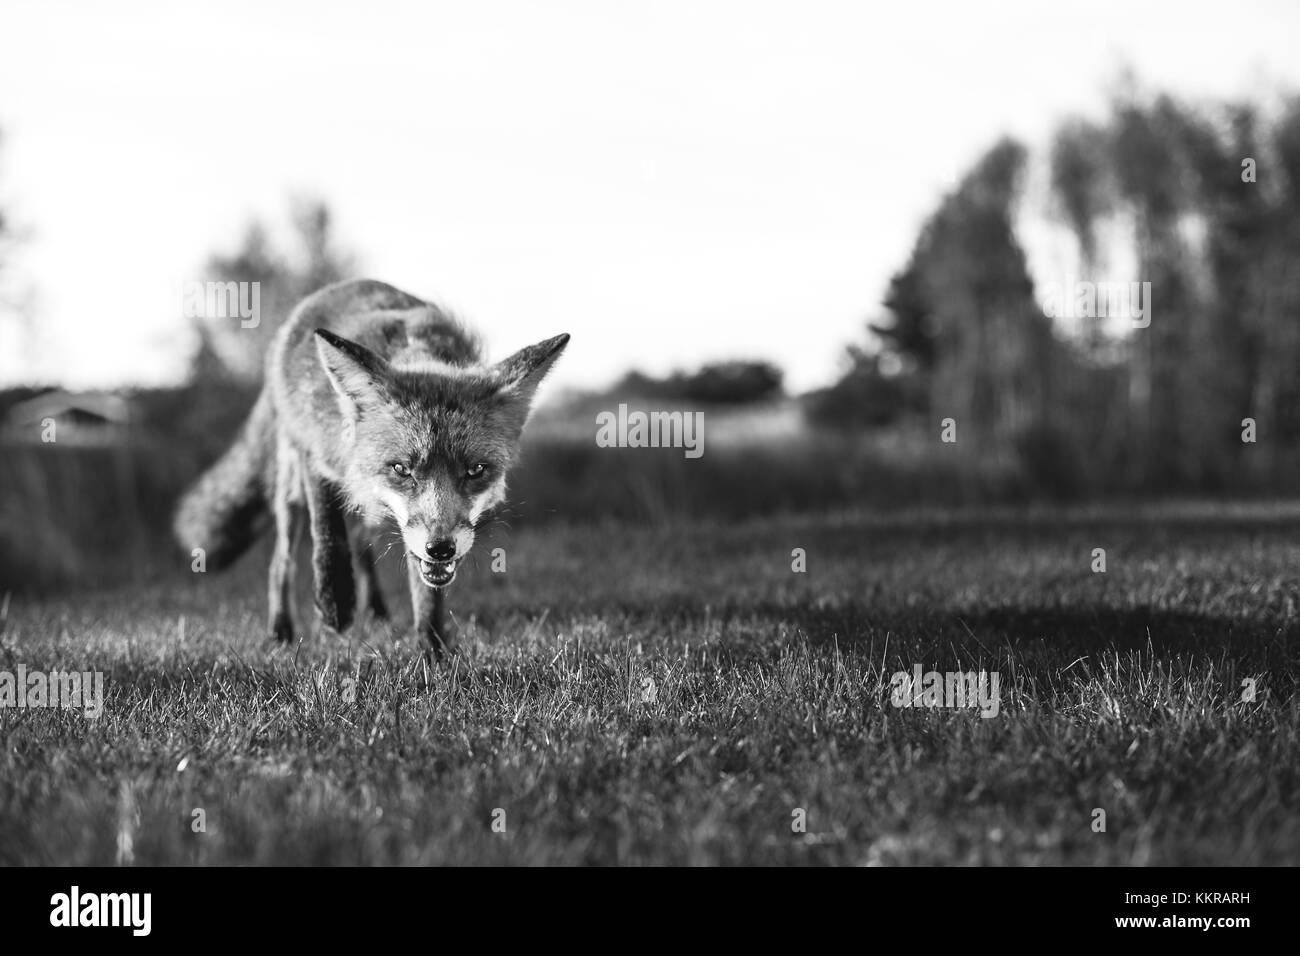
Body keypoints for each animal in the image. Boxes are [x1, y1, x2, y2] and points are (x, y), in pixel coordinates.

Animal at [173, 278, 569, 654]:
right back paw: (281, 631)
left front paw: (432, 650)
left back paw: (376, 612)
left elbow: (426, 589)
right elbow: (328, 531)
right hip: (291, 488)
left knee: (363, 549)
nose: (440, 548)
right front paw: (335, 600)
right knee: (281, 562)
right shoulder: (317, 453)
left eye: (475, 470)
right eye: (401, 469)